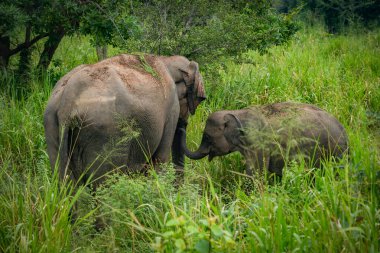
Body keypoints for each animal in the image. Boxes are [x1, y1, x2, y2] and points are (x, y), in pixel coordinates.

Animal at [43, 53, 206, 187]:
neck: (167, 60)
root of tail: (67, 100)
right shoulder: (171, 109)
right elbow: (160, 158)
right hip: (104, 133)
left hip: (51, 124)